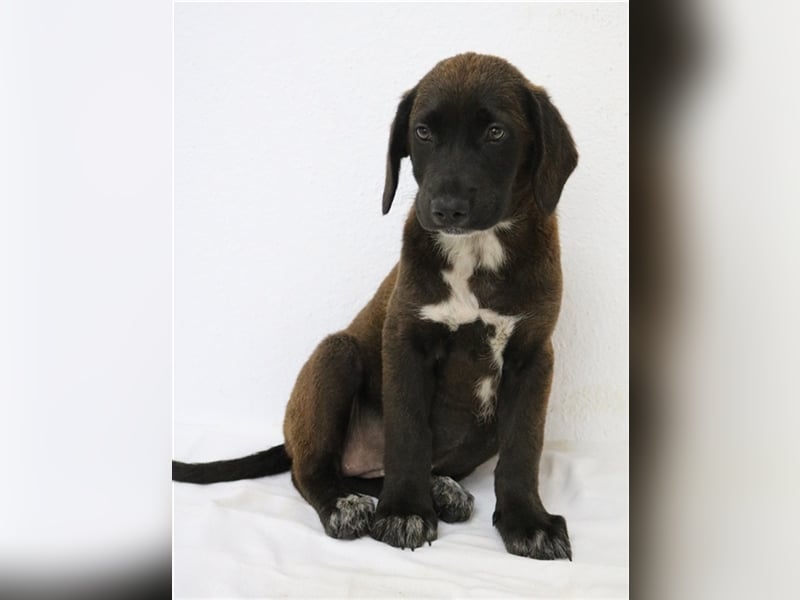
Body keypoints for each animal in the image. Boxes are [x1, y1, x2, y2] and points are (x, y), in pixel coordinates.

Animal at [173, 52, 578, 560]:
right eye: (422, 132)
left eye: (496, 133)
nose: (445, 208)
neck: (478, 252)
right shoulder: (405, 342)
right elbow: (407, 432)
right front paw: (405, 511)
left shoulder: (532, 357)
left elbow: (524, 447)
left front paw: (528, 521)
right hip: (336, 356)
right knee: (311, 471)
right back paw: (346, 504)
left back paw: (442, 488)